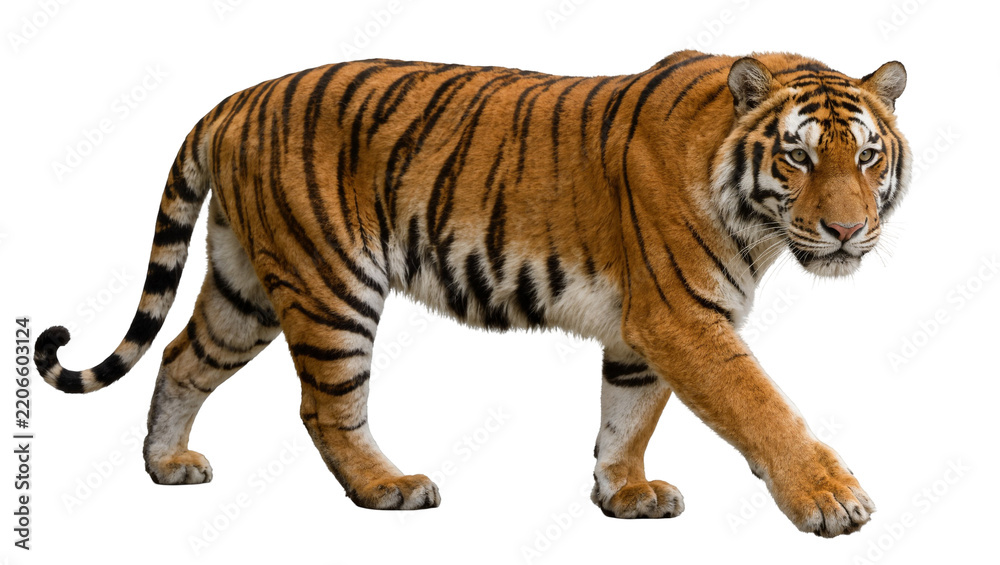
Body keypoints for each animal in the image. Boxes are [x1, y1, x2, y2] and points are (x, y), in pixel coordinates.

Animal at [34, 50, 910, 537]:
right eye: (798, 157)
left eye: (867, 156)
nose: (846, 231)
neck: (758, 224)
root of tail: (236, 100)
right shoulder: (684, 316)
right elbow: (763, 406)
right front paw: (833, 501)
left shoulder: (643, 332)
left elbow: (627, 415)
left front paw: (624, 494)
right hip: (330, 285)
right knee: (324, 406)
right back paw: (387, 487)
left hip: (245, 285)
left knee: (183, 355)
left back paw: (166, 464)